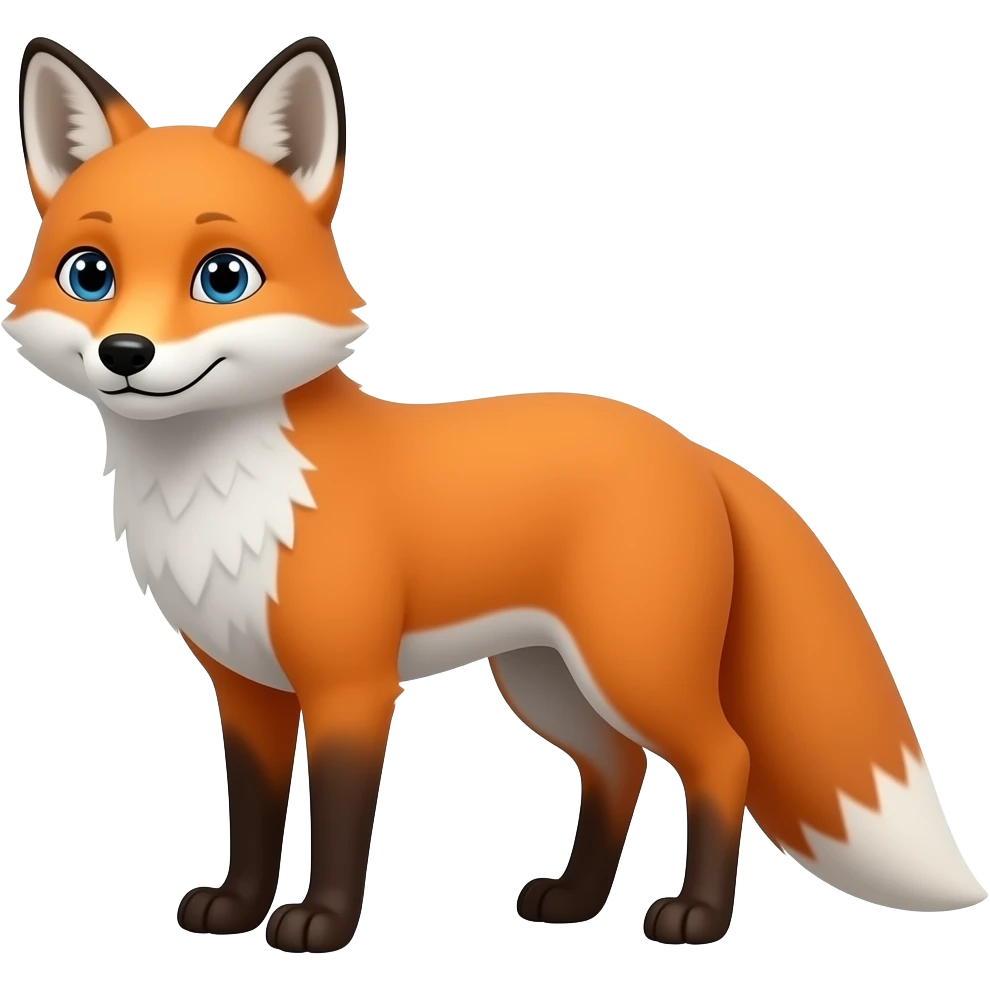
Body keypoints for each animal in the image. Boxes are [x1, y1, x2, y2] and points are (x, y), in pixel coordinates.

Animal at [5, 34, 986, 955]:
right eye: (89, 274)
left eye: (223, 276)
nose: (125, 354)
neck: (223, 495)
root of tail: (687, 445)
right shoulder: (245, 687)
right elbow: (251, 818)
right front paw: (237, 909)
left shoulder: (351, 684)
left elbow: (340, 822)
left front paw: (322, 922)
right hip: (547, 681)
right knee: (619, 770)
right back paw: (575, 901)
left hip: (634, 667)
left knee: (722, 759)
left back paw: (698, 916)